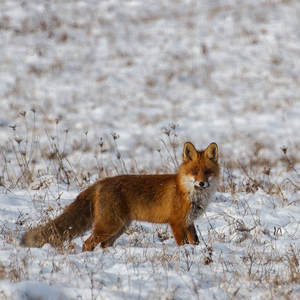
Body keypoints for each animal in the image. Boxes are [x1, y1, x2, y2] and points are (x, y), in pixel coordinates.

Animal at [20, 142, 218, 252]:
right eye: (194, 172)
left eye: (207, 172)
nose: (202, 183)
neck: (190, 193)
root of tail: (100, 182)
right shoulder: (176, 222)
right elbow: (183, 243)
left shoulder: (189, 222)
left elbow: (195, 241)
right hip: (110, 225)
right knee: (87, 243)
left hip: (120, 227)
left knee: (103, 245)